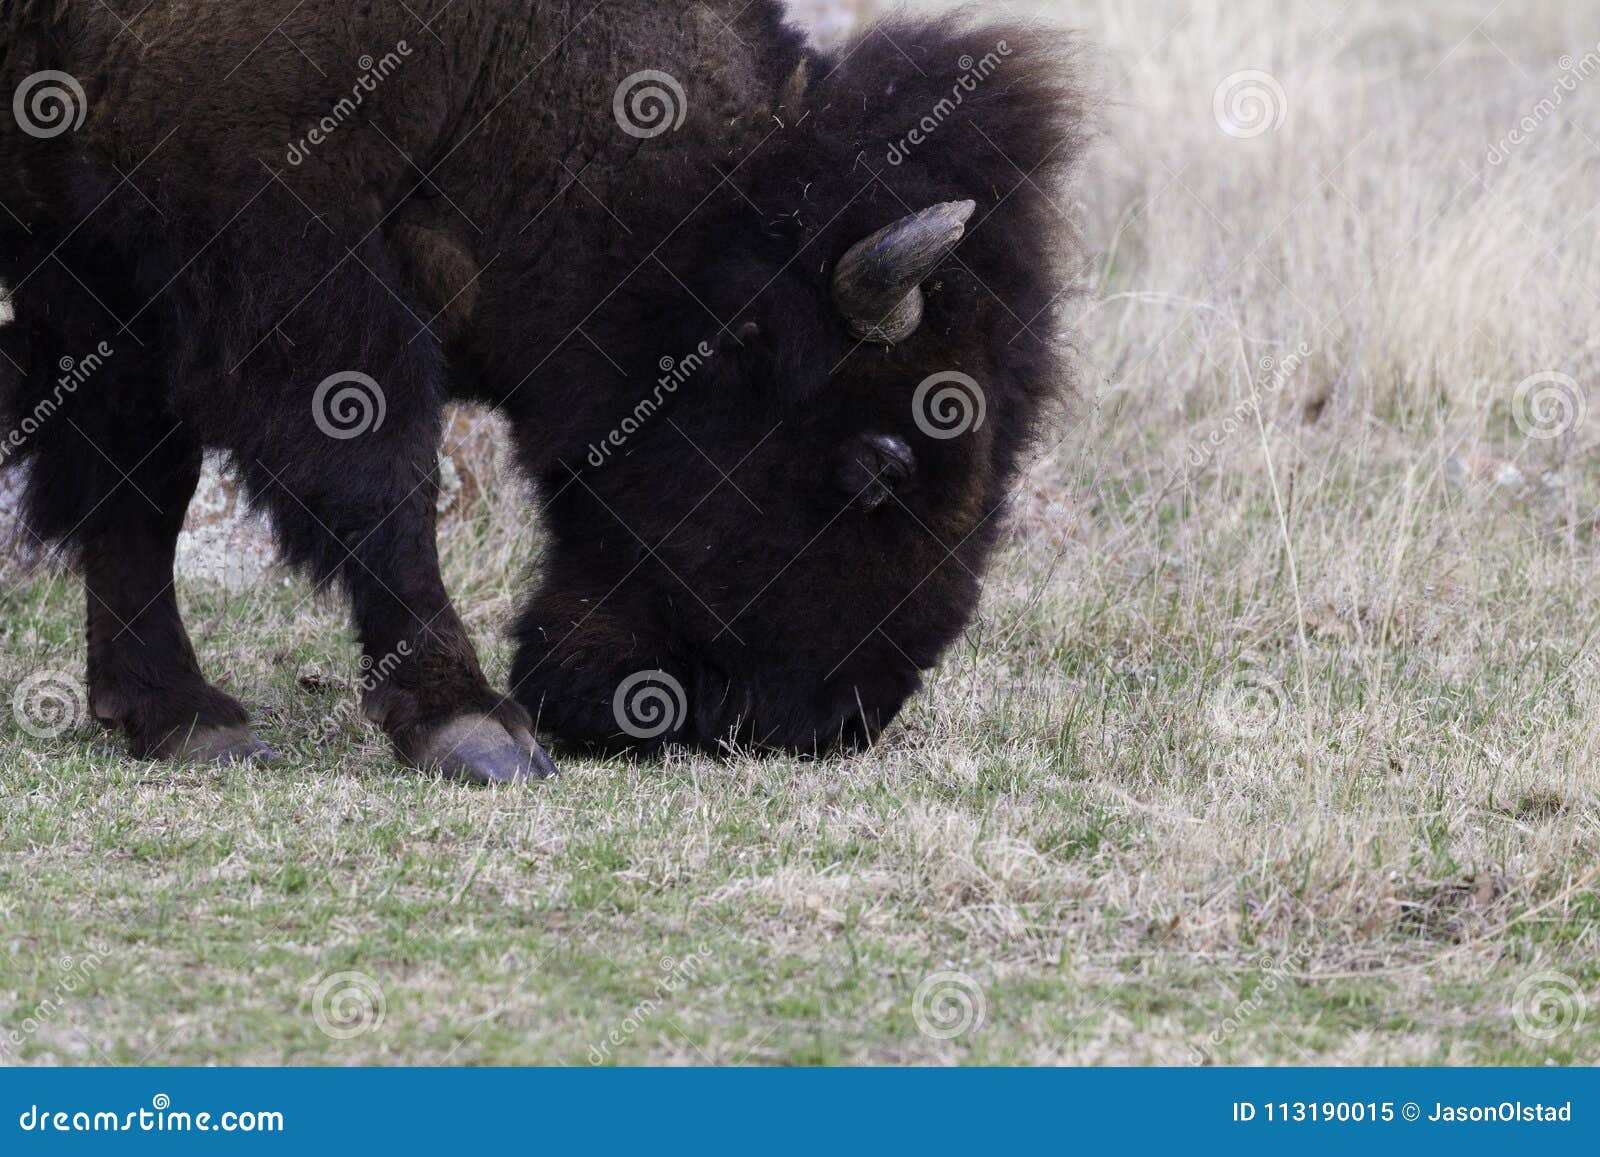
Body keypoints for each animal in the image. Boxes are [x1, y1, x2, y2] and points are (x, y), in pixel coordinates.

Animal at [0, 0, 1089, 782]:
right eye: (876, 466)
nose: (835, 720)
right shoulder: (272, 245)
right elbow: (377, 474)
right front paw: (474, 728)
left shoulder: (111, 277)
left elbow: (141, 486)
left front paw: (178, 716)